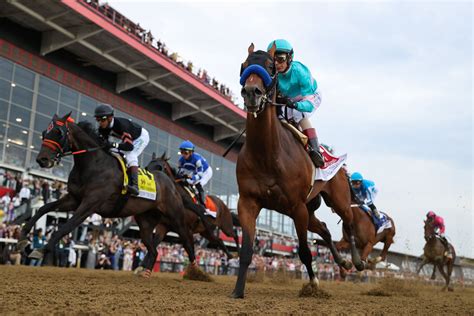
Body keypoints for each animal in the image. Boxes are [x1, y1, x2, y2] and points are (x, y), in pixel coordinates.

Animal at [18, 113, 196, 276]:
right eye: (44, 132)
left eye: (59, 132)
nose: (42, 159)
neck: (93, 164)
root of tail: (171, 183)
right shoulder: (74, 199)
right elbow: (44, 208)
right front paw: (22, 237)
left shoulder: (89, 205)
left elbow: (65, 227)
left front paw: (41, 250)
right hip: (145, 221)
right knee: (154, 250)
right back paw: (144, 272)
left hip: (175, 217)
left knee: (187, 240)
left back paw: (195, 271)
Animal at [233, 44, 362, 298]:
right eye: (244, 65)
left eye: (270, 66)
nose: (252, 92)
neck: (267, 155)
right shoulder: (248, 202)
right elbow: (246, 250)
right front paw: (238, 291)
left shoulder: (297, 207)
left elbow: (303, 251)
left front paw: (313, 284)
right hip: (310, 209)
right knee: (324, 229)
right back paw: (342, 262)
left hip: (337, 200)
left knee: (349, 223)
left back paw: (355, 261)